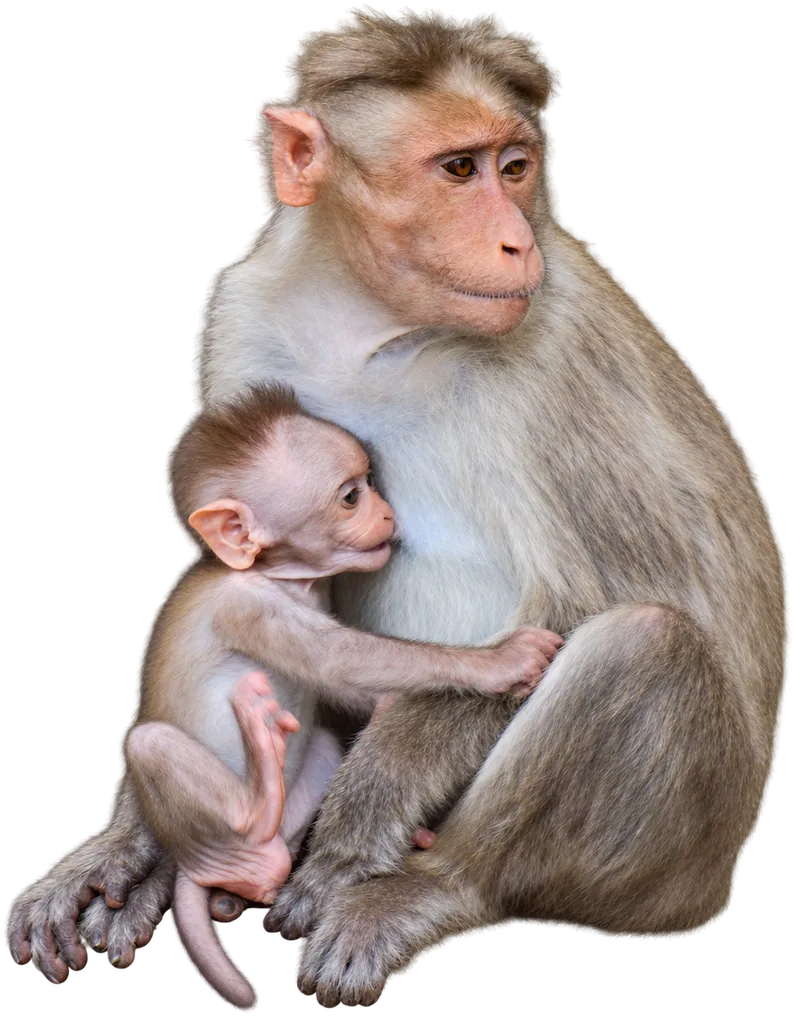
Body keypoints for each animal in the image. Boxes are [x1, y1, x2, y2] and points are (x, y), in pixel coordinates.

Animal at [114, 382, 563, 1011]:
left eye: (370, 483)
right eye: (351, 497)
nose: (387, 511)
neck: (280, 575)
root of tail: (196, 863)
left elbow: (347, 680)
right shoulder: (248, 605)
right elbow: (339, 658)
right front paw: (501, 661)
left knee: (324, 747)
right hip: (209, 811)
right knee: (151, 741)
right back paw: (254, 810)